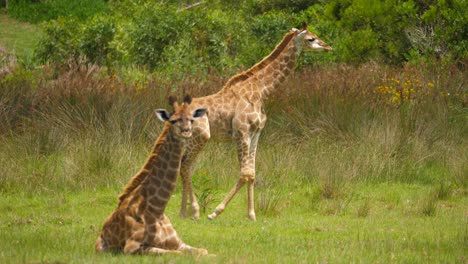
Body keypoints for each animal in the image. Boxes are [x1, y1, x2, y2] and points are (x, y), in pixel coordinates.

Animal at [95, 96, 208, 255]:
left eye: (191, 119)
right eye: (173, 120)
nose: (186, 132)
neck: (157, 210)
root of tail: (103, 230)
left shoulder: (179, 243)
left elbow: (203, 251)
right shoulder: (131, 248)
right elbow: (177, 254)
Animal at [179, 22, 332, 221]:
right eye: (311, 38)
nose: (328, 46)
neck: (262, 91)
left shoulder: (256, 133)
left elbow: (252, 173)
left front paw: (251, 214)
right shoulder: (241, 132)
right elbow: (245, 173)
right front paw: (215, 212)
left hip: (193, 139)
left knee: (186, 166)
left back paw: (184, 212)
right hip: (201, 137)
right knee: (186, 165)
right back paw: (195, 211)